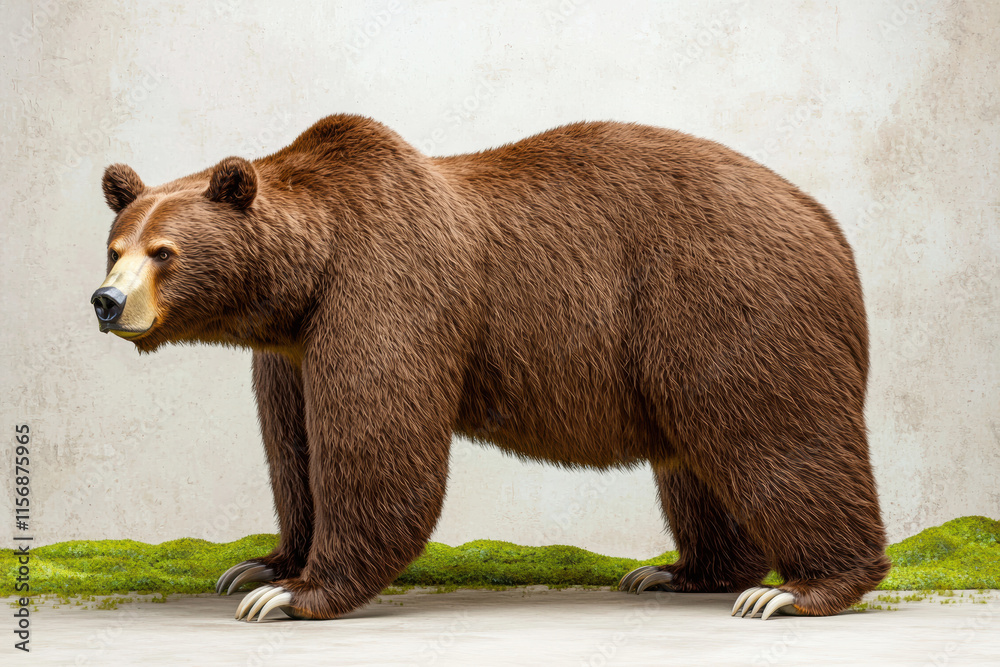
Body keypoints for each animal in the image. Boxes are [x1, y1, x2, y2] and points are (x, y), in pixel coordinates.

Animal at [92, 115, 890, 622]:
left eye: (163, 252)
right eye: (115, 247)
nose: (106, 301)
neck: (304, 278)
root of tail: (828, 226)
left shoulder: (387, 291)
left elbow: (377, 448)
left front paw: (296, 593)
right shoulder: (290, 349)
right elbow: (292, 450)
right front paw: (263, 564)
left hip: (729, 304)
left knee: (776, 438)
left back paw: (800, 589)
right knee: (696, 459)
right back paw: (679, 571)